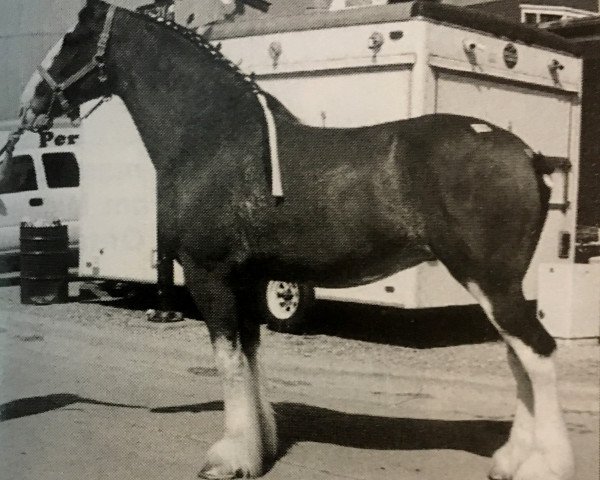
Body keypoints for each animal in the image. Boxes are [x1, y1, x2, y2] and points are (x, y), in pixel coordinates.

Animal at [16, 1, 576, 478]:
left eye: (73, 38)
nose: (29, 103)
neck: (216, 137)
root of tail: (527, 154)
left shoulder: (210, 274)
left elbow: (228, 359)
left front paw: (229, 458)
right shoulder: (246, 279)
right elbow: (250, 355)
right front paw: (260, 446)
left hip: (489, 280)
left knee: (538, 353)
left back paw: (545, 466)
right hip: (502, 285)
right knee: (520, 358)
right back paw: (510, 461)